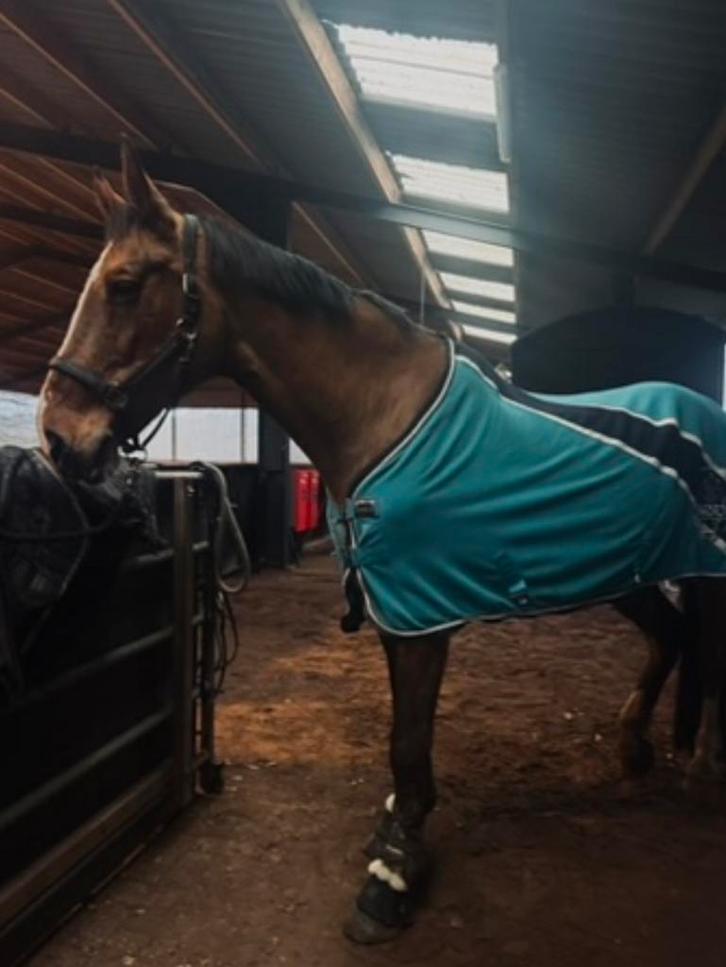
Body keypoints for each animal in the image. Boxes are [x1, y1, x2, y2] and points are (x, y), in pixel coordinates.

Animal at [38, 142, 726, 944]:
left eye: (122, 287)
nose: (58, 438)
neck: (382, 416)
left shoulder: (423, 612)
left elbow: (408, 739)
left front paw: (392, 876)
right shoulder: (398, 606)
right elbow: (405, 734)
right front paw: (399, 825)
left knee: (703, 651)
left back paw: (700, 767)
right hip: (630, 569)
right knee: (671, 637)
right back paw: (636, 748)